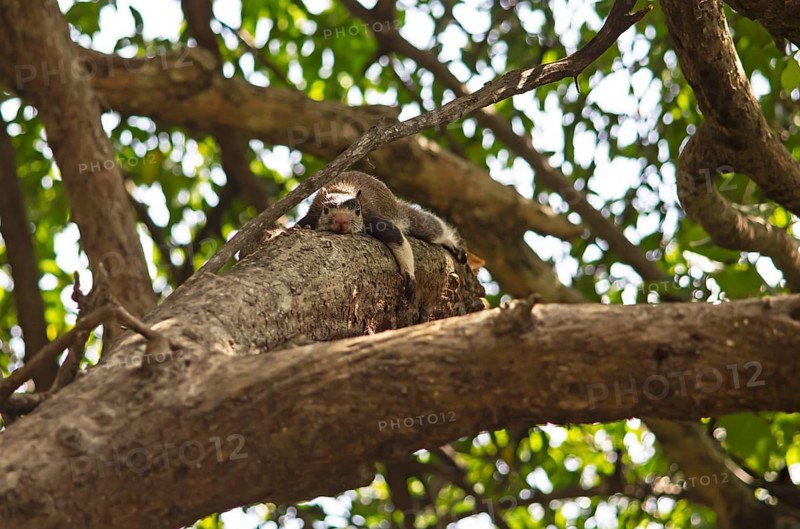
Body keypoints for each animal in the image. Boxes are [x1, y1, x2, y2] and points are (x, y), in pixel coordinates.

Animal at [297, 171, 467, 299]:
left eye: (357, 210)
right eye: (325, 209)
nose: (341, 220)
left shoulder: (376, 222)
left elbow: (398, 240)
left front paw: (409, 276)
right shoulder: (312, 216)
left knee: (433, 229)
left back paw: (452, 245)